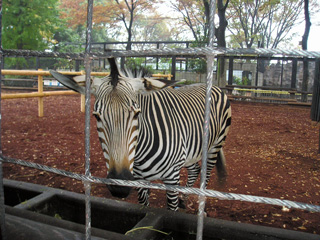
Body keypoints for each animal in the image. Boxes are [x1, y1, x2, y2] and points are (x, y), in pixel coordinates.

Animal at [50, 57, 231, 210]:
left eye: (137, 114)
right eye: (96, 116)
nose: (119, 186)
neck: (140, 154)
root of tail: (211, 85)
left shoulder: (172, 177)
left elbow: (170, 209)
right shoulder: (139, 179)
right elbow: (144, 208)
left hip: (214, 146)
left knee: (206, 175)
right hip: (190, 152)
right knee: (194, 170)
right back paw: (184, 200)